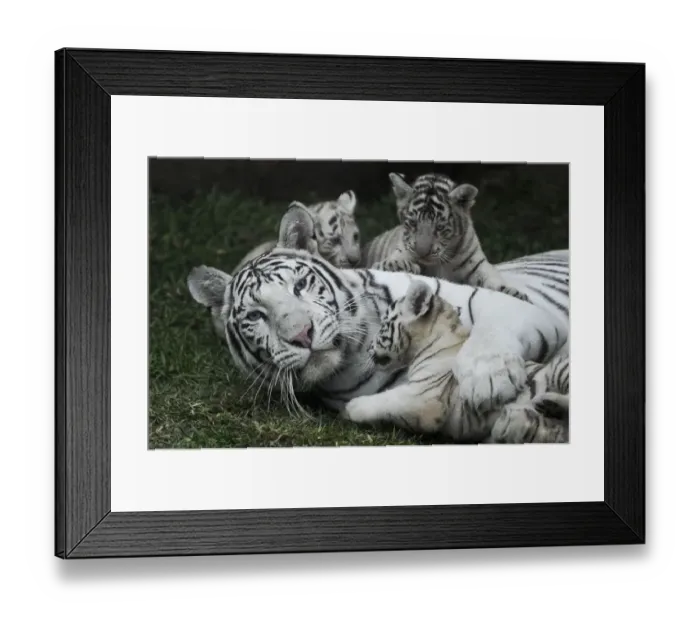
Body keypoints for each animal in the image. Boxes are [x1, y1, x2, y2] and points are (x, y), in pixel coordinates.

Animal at [186, 211, 570, 418]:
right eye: (256, 316)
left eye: (300, 285)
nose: (302, 335)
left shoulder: (515, 308)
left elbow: (488, 330)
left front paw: (486, 380)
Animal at [342, 279, 569, 443]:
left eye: (383, 325)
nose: (369, 348)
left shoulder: (424, 396)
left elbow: (383, 400)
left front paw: (350, 408)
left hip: (560, 368)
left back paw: (546, 403)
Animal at [363, 172, 530, 302]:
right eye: (413, 223)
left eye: (439, 227)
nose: (422, 253)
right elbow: (397, 259)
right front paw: (394, 265)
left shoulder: (478, 265)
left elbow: (494, 279)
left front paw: (513, 292)